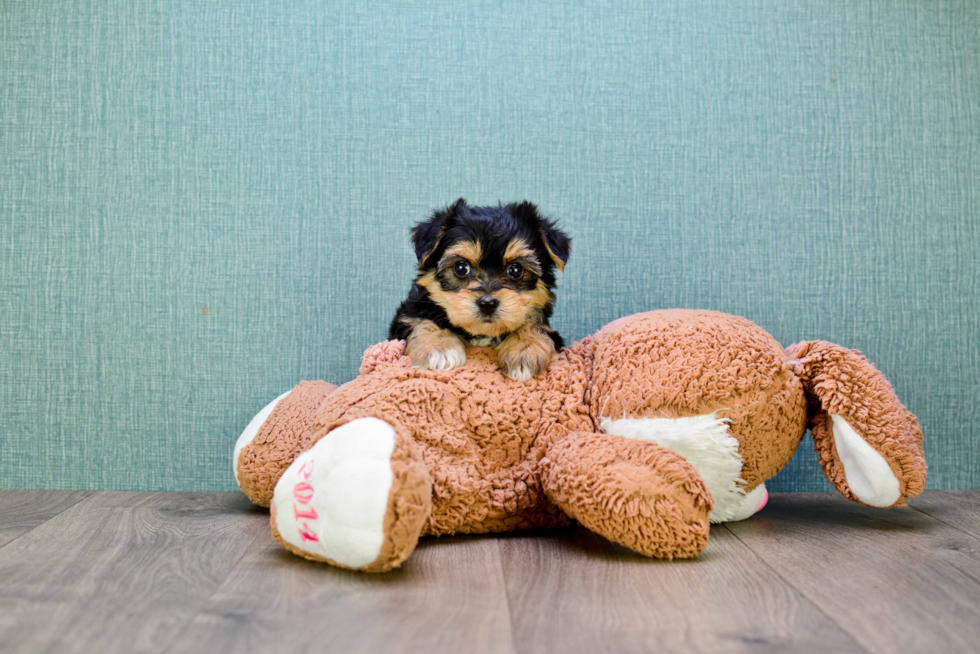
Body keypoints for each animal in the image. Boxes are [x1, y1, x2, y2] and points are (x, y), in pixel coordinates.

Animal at [390, 200, 572, 384]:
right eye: (461, 267)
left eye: (515, 270)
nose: (487, 303)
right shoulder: (409, 314)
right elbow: (421, 321)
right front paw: (439, 348)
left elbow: (534, 324)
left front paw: (524, 350)